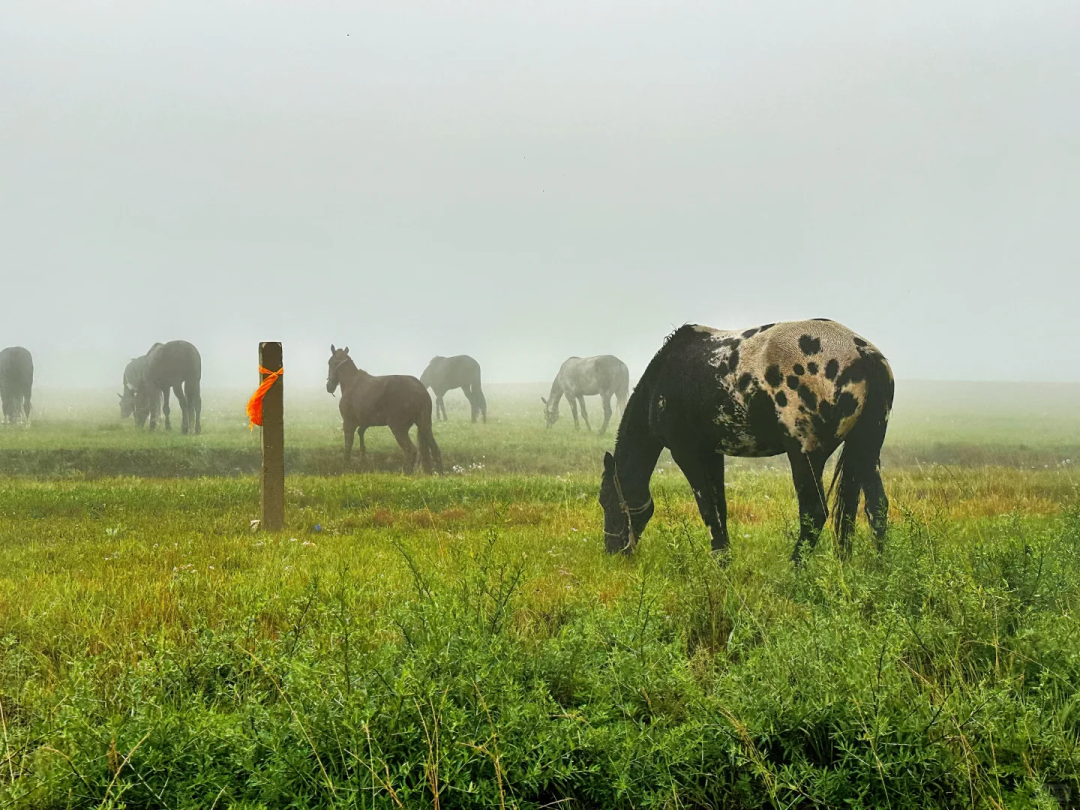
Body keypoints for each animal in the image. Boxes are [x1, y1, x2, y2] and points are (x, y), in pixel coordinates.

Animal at [321, 343, 440, 475]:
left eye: (330, 362)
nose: (329, 387)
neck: (352, 382)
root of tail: (420, 389)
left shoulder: (348, 422)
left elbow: (348, 446)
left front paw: (346, 467)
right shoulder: (364, 423)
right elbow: (361, 437)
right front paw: (363, 460)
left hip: (399, 428)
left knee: (411, 451)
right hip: (425, 425)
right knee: (435, 450)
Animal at [600, 319, 894, 561]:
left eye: (606, 500)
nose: (613, 550)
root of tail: (862, 351)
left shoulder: (687, 452)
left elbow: (707, 509)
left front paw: (719, 562)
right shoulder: (712, 453)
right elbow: (719, 507)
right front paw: (724, 557)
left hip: (805, 456)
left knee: (814, 512)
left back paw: (795, 569)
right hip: (867, 450)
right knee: (876, 507)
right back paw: (879, 566)